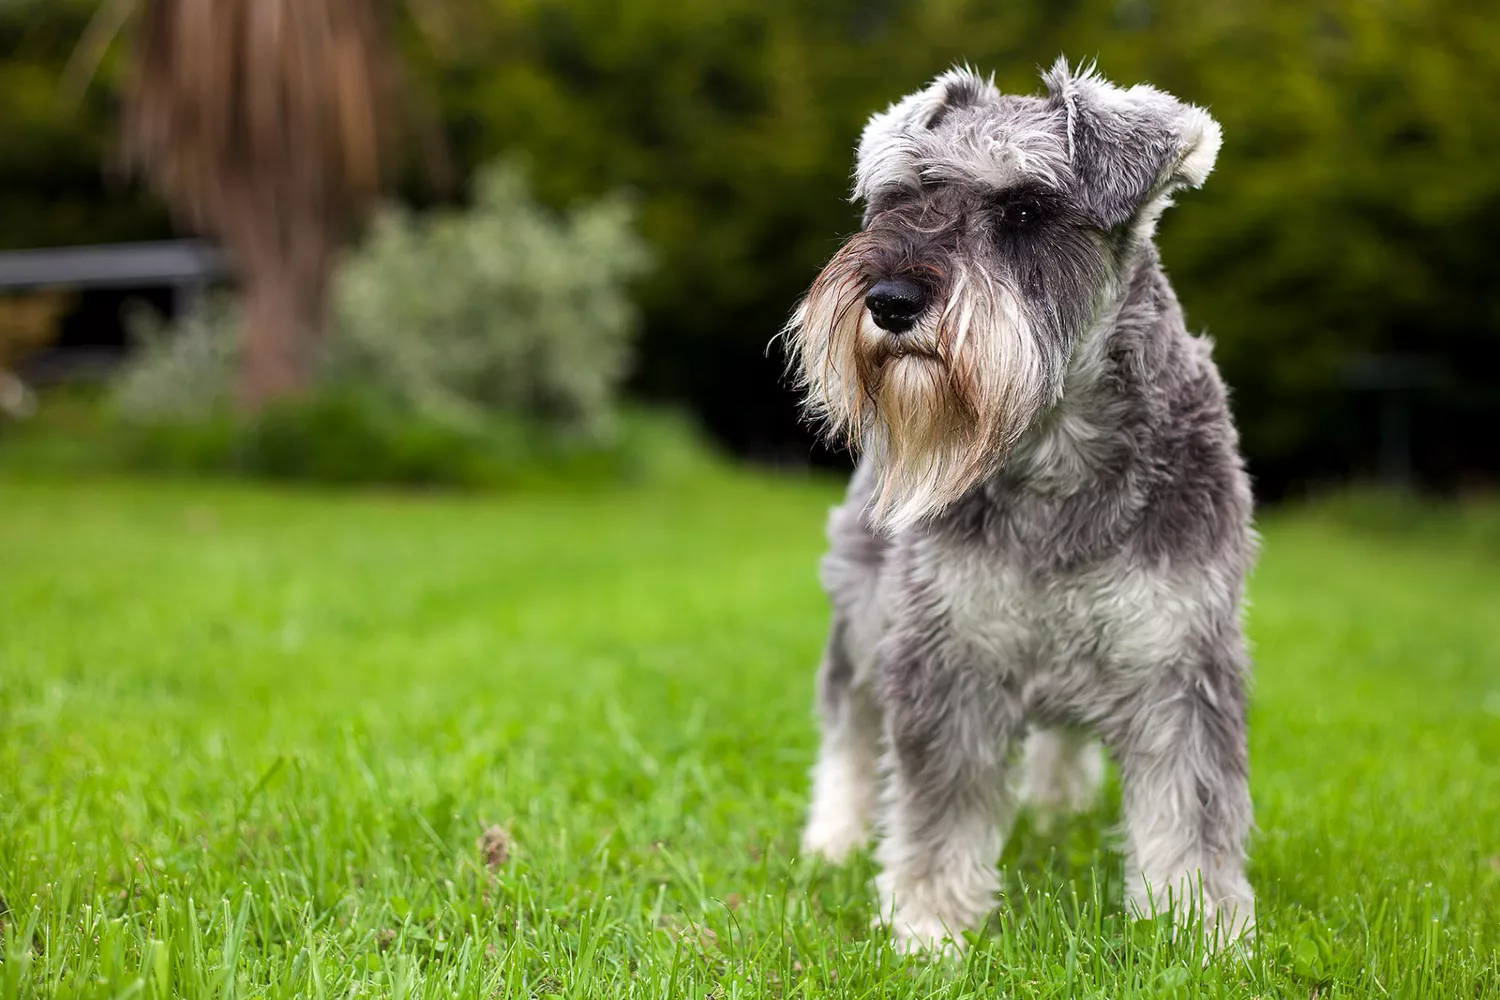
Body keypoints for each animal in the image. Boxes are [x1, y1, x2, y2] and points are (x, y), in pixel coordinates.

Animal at [786, 58, 1254, 959]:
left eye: (1026, 210)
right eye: (900, 197)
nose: (890, 299)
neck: (1054, 454)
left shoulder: (1181, 660)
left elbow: (1192, 809)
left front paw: (1198, 932)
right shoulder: (947, 657)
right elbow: (939, 811)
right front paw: (928, 928)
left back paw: (1057, 809)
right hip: (863, 615)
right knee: (848, 727)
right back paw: (833, 838)